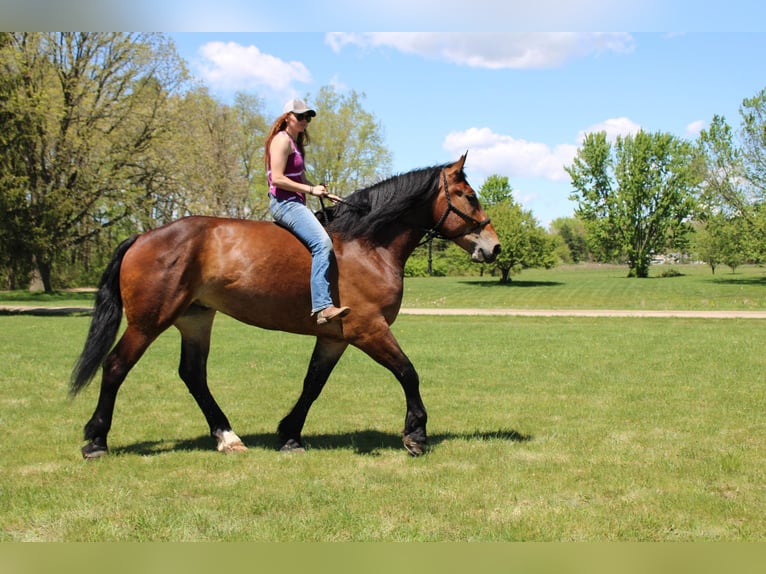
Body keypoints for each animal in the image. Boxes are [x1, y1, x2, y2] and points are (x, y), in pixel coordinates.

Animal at [70, 153, 504, 460]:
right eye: (469, 196)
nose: (495, 246)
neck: (365, 243)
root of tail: (143, 236)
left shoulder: (336, 337)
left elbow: (313, 384)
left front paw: (290, 434)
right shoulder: (369, 329)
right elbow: (408, 373)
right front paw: (416, 434)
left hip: (195, 320)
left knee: (193, 375)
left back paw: (227, 437)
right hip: (148, 322)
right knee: (115, 367)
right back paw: (96, 440)